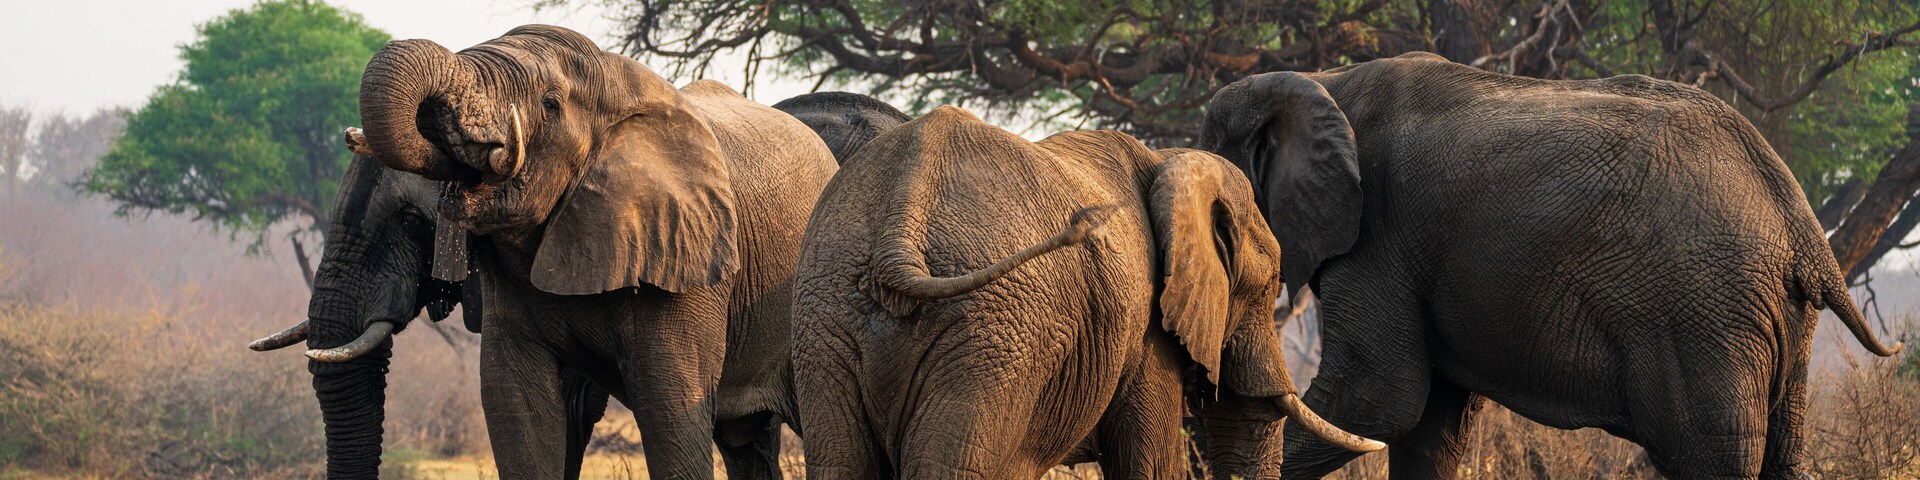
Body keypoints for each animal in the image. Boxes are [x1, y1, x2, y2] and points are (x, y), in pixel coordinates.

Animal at [789, 106, 1383, 479]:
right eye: (1269, 287)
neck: (1170, 161)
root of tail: (901, 222)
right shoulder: (1146, 332)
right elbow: (1147, 463)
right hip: (994, 338)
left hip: (828, 318)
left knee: (841, 461)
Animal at [1195, 52, 1905, 479]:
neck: (1324, 80)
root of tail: (1797, 218)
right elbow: (1430, 424)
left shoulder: (1380, 237)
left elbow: (1377, 398)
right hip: (1776, 312)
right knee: (1782, 448)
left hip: (1703, 313)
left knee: (1709, 454)